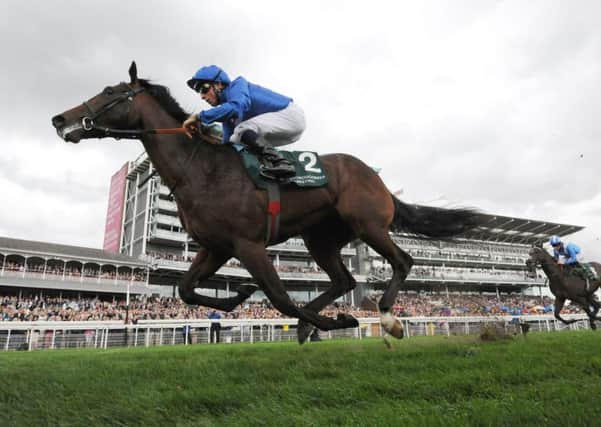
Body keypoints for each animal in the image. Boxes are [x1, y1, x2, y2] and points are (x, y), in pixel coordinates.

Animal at [51, 61, 482, 344]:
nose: (59, 119)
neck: (201, 169)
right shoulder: (216, 246)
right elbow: (187, 290)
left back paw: (388, 317)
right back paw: (318, 320)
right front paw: (241, 296)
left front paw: (335, 323)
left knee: (402, 261)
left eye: (110, 93)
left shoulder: (248, 244)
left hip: (369, 225)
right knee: (344, 280)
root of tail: (377, 178)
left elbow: (281, 299)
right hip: (320, 238)